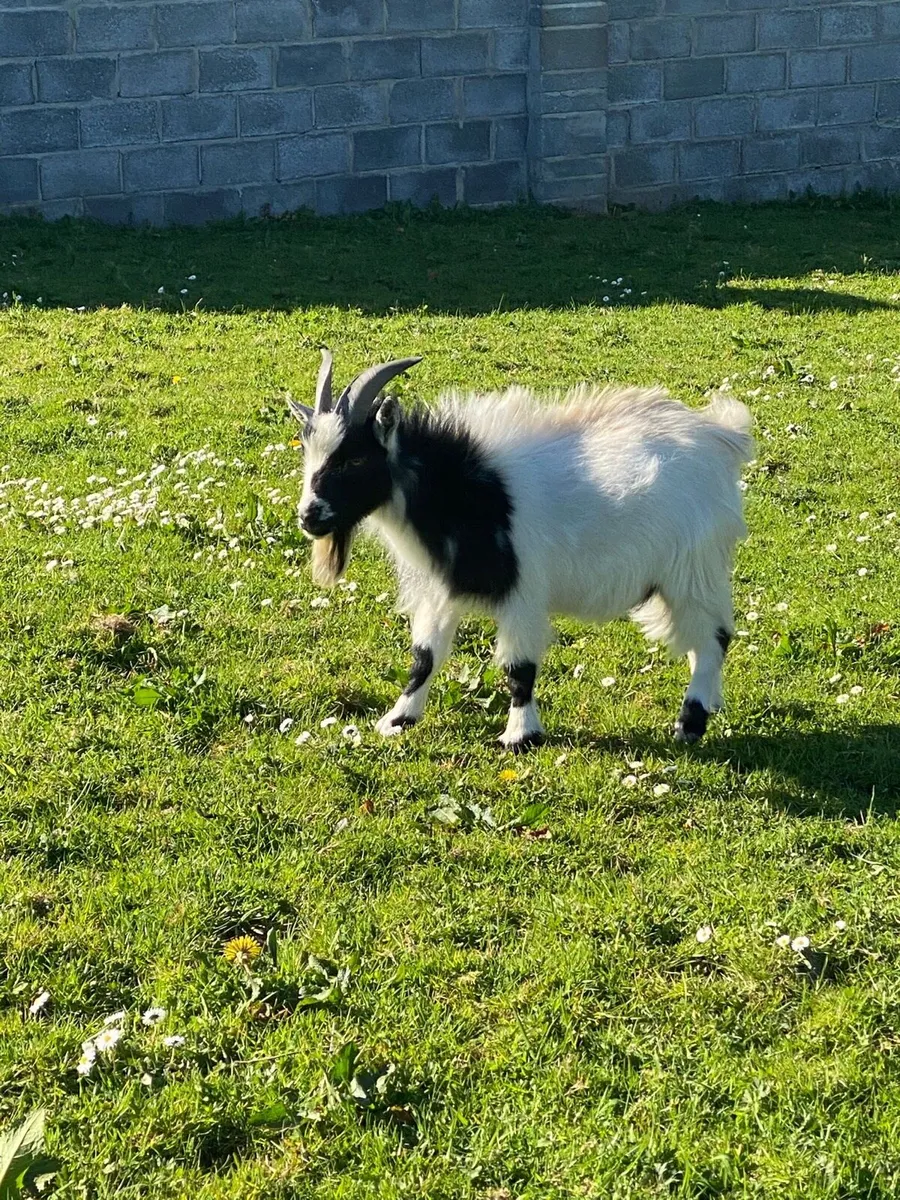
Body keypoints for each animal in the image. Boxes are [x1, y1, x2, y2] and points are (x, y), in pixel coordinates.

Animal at [289, 350, 753, 751]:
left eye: (353, 460)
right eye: (309, 453)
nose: (309, 517)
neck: (462, 486)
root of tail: (721, 438)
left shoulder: (523, 591)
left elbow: (519, 668)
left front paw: (520, 736)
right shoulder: (443, 588)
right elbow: (425, 656)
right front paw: (397, 720)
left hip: (692, 569)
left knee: (714, 637)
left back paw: (690, 723)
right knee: (701, 641)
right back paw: (709, 703)